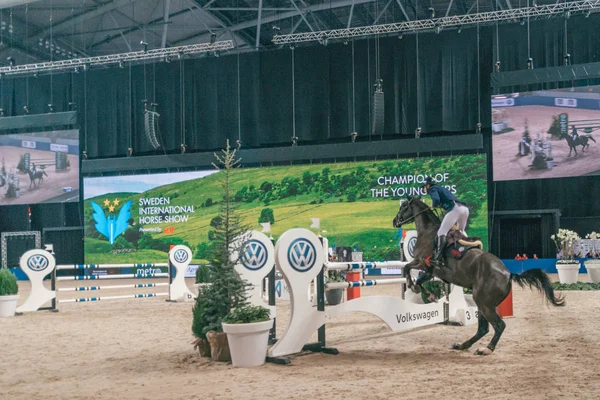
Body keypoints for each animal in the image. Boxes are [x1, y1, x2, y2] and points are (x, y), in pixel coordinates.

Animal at [392, 197, 564, 356]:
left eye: (403, 206)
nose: (395, 221)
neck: (428, 232)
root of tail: (508, 274)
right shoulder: (430, 271)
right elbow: (418, 279)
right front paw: (428, 294)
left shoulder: (422, 263)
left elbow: (407, 268)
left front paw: (416, 288)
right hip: (483, 303)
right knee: (483, 328)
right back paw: (462, 345)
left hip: (484, 303)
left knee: (498, 325)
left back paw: (487, 349)